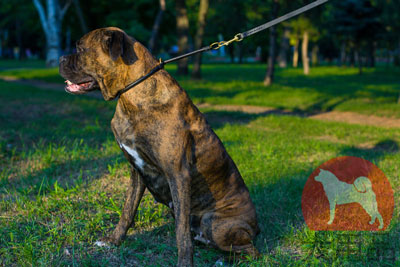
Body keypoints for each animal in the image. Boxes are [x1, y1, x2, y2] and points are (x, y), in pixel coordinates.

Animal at [59, 27, 260, 267]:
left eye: (80, 48)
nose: (60, 59)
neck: (132, 95)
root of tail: (256, 226)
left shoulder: (178, 175)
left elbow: (181, 231)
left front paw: (184, 262)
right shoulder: (137, 171)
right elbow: (127, 211)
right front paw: (113, 240)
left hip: (217, 223)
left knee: (251, 251)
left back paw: (223, 260)